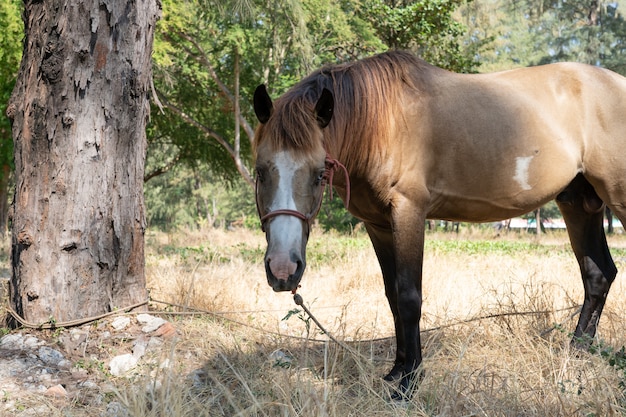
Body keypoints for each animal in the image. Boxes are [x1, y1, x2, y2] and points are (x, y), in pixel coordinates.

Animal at [250, 50, 624, 398]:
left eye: (318, 174)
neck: (383, 122)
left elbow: (409, 297)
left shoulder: (409, 212)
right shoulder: (378, 224)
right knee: (598, 275)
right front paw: (396, 372)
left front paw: (409, 385)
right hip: (578, 204)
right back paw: (575, 354)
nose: (283, 270)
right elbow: (393, 297)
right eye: (260, 171)